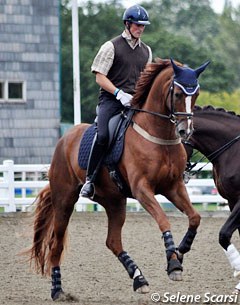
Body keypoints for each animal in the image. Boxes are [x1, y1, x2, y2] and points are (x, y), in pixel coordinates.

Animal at [26, 57, 210, 300]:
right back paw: (57, 290)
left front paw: (180, 252)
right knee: (56, 244)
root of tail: (64, 139)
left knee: (113, 242)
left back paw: (139, 279)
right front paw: (173, 263)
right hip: (64, 200)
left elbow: (195, 217)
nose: (185, 131)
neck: (159, 137)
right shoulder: (142, 189)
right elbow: (163, 220)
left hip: (114, 201)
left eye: (196, 94)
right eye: (179, 94)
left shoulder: (173, 187)